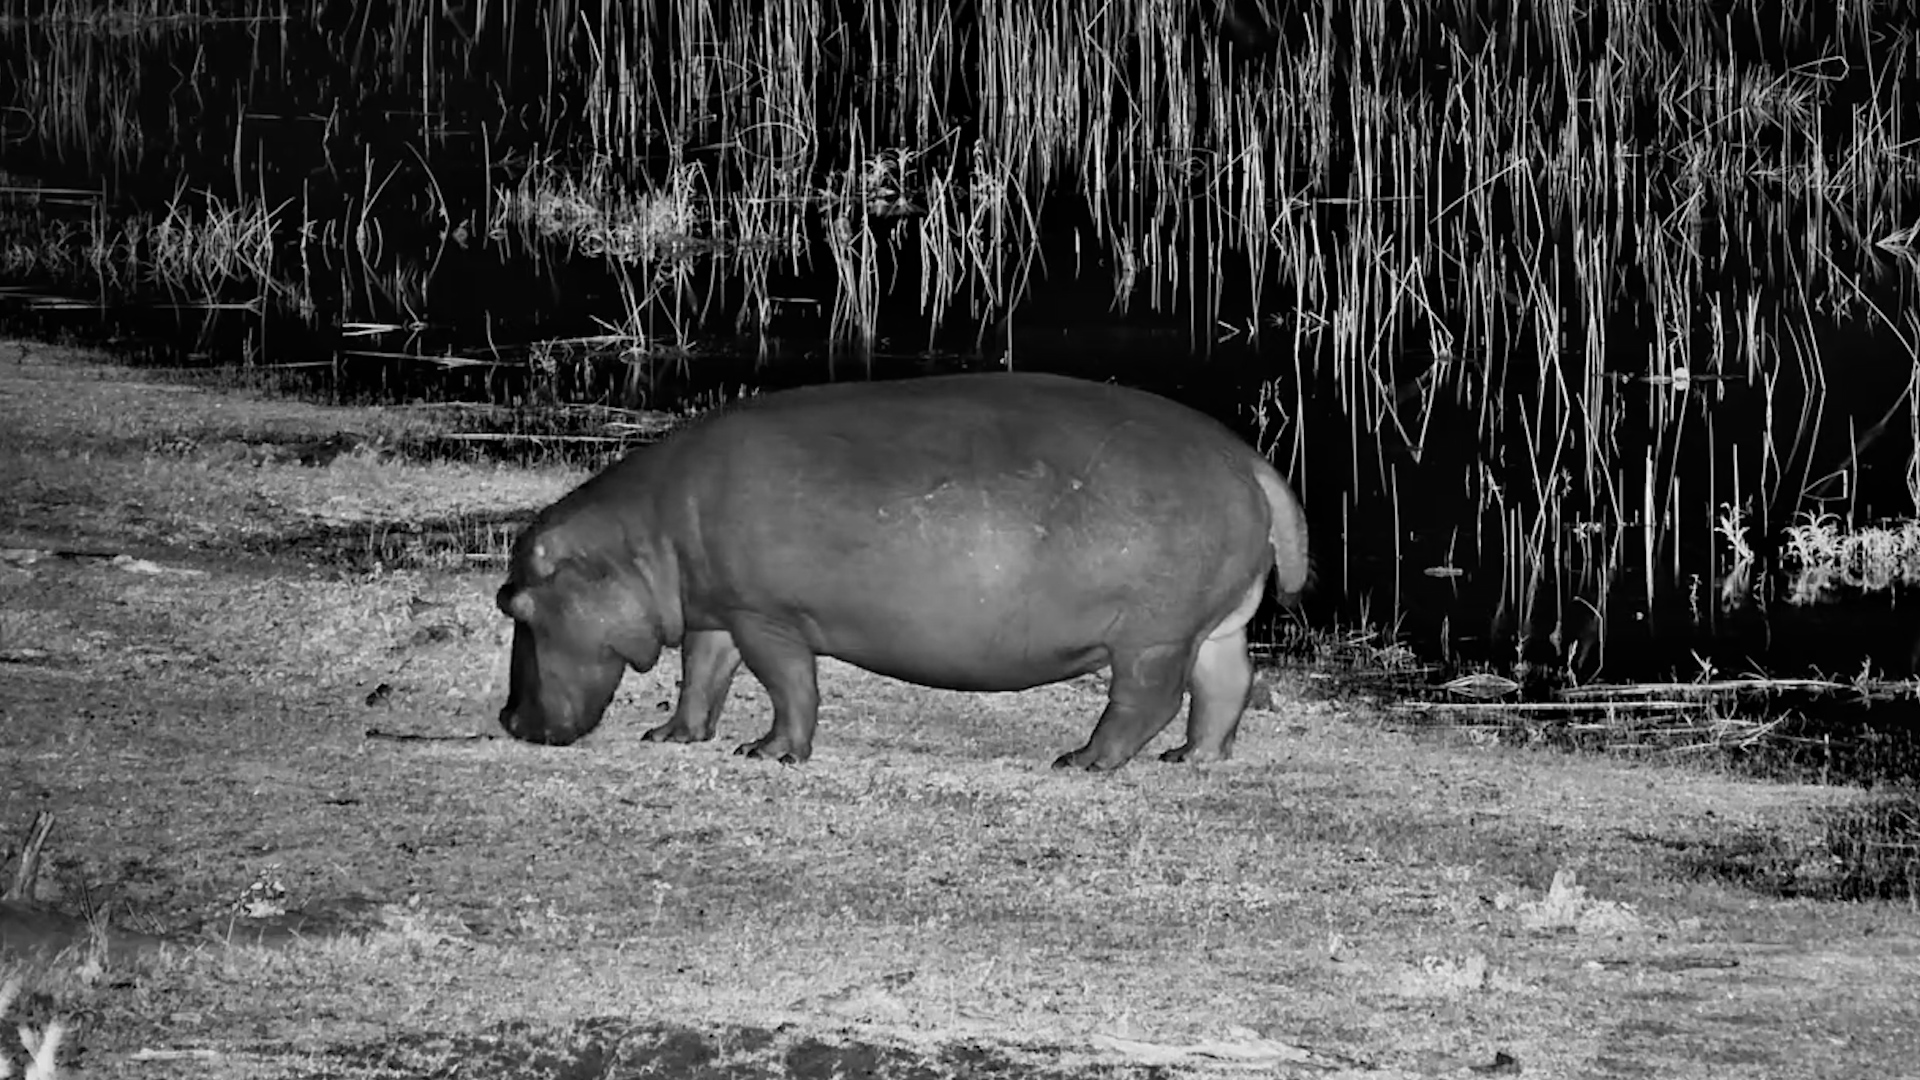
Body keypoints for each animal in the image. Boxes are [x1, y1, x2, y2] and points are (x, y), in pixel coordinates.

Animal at [495, 372, 1309, 770]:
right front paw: (670, 736)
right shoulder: (716, 610)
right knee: (1224, 686)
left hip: (1151, 637)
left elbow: (791, 688)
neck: (639, 539)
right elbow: (701, 676)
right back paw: (1192, 758)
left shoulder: (766, 617)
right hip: (1212, 627)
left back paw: (1081, 760)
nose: (507, 720)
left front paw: (768, 754)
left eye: (516, 606)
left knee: (1145, 701)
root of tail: (1248, 459)